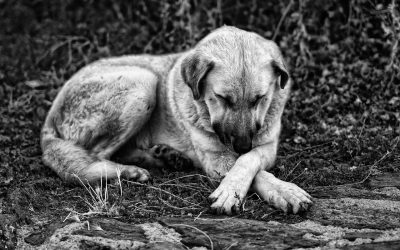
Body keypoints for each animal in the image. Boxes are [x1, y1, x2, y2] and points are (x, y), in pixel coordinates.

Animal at [42, 26, 314, 214]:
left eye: (260, 99)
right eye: (223, 98)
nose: (242, 144)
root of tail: (49, 120)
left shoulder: (266, 146)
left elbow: (250, 161)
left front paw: (283, 190)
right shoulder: (216, 160)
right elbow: (254, 170)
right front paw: (234, 191)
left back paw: (166, 157)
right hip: (144, 83)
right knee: (94, 157)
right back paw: (130, 171)